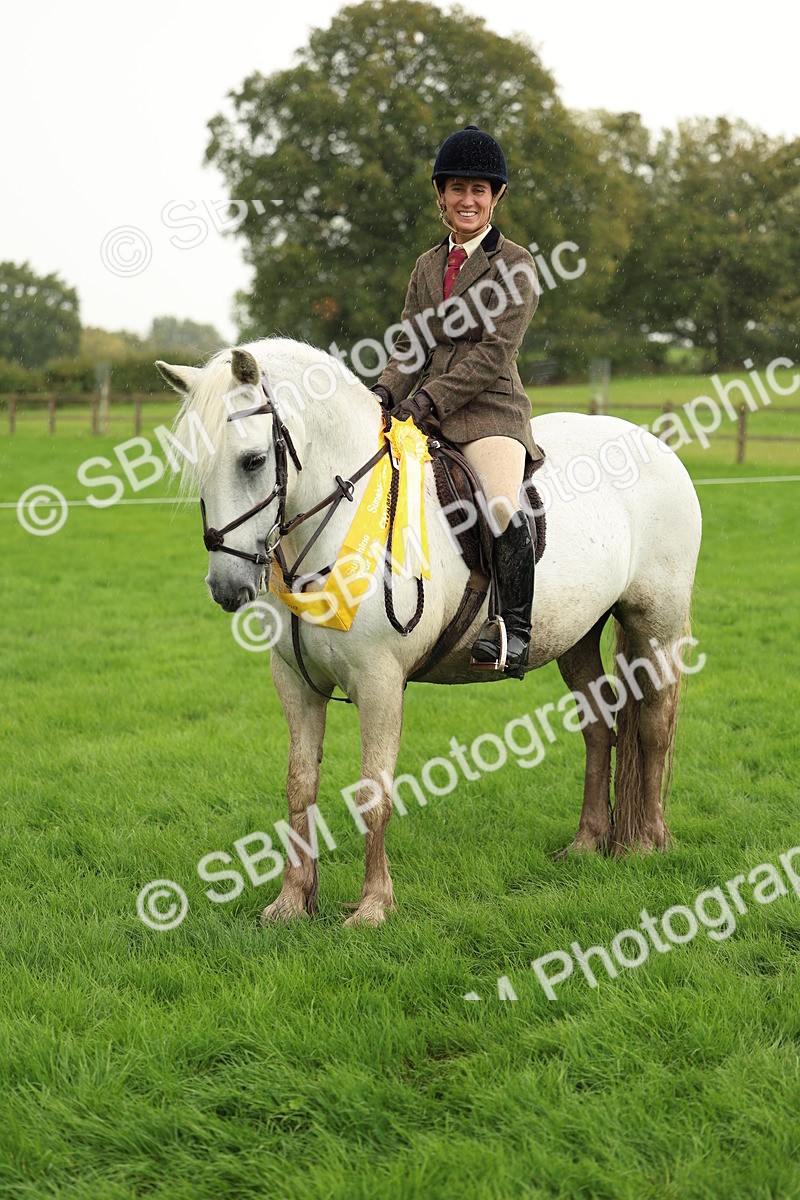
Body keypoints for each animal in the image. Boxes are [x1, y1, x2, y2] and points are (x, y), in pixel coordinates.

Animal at [157, 338, 702, 926]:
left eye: (253, 460)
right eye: (196, 466)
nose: (226, 587)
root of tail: (654, 444)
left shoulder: (379, 682)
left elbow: (374, 790)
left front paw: (373, 907)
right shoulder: (296, 683)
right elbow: (299, 786)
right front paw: (292, 900)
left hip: (655, 624)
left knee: (654, 726)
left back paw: (647, 842)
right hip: (577, 635)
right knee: (600, 727)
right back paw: (586, 843)